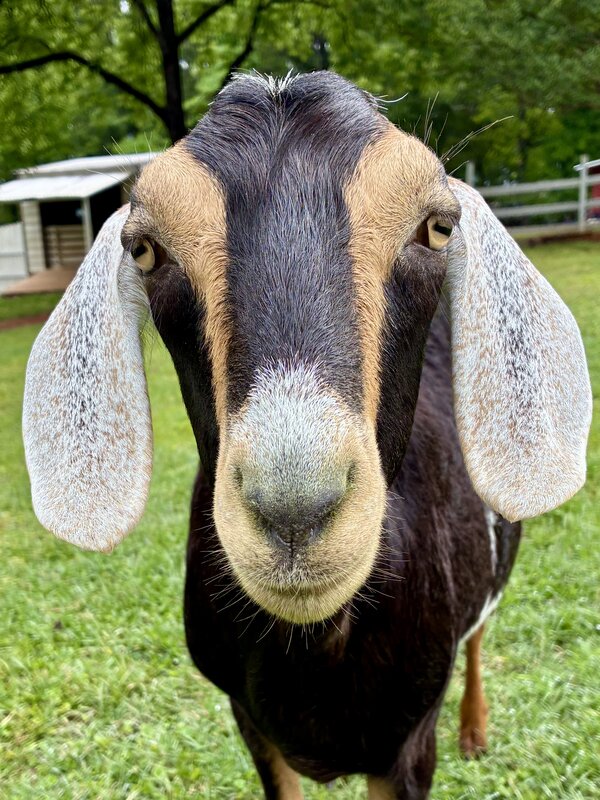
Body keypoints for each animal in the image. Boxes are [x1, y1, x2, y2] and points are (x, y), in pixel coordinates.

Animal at [23, 72, 592, 799]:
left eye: (436, 228)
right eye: (146, 248)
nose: (295, 507)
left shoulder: (408, 742)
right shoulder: (249, 722)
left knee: (481, 632)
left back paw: (476, 729)